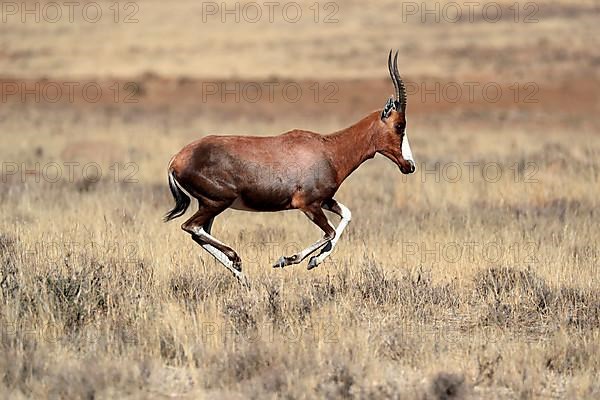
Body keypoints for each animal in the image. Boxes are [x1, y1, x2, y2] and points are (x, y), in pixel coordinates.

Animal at [166, 51, 414, 282]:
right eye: (399, 125)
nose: (409, 166)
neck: (328, 149)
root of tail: (176, 160)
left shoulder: (324, 200)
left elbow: (346, 215)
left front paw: (314, 261)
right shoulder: (308, 205)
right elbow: (330, 232)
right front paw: (287, 259)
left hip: (210, 205)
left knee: (198, 233)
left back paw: (242, 276)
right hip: (218, 202)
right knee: (191, 227)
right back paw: (236, 260)